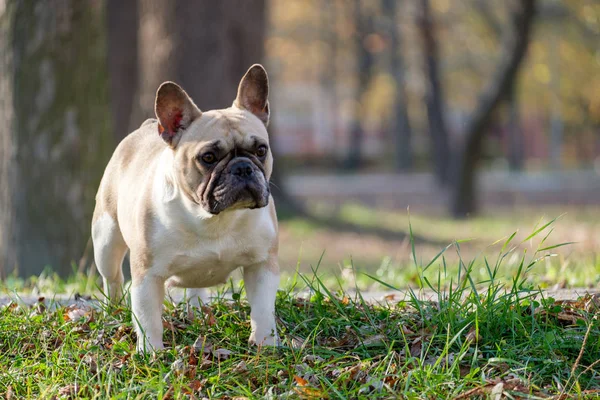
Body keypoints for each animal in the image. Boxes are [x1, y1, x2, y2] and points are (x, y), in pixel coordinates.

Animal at [91, 64, 278, 352]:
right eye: (208, 157)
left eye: (260, 150)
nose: (243, 168)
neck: (212, 218)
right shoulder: (147, 275)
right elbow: (148, 317)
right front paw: (151, 353)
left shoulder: (262, 264)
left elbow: (263, 309)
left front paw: (265, 345)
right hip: (106, 241)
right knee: (112, 279)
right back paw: (112, 311)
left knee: (196, 288)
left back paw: (198, 311)